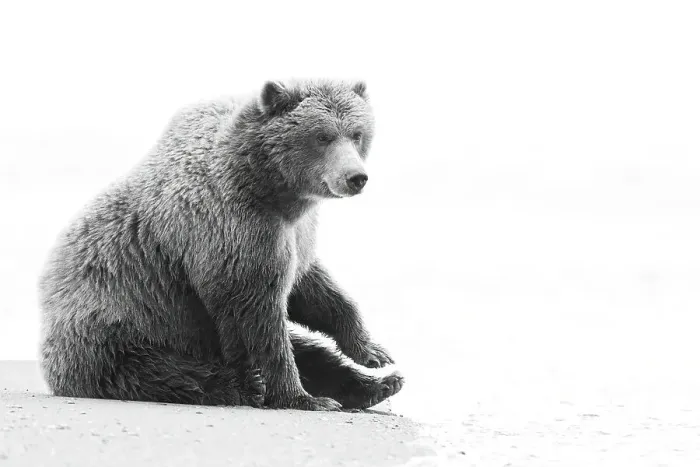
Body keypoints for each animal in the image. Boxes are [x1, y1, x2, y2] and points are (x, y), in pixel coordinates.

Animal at [38, 80, 403, 411]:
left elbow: (312, 289)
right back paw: (246, 386)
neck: (273, 191)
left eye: (356, 133)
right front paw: (301, 397)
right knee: (163, 371)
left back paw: (380, 385)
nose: (356, 177)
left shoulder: (294, 234)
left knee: (311, 352)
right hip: (122, 327)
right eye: (322, 136)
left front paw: (372, 351)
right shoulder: (232, 232)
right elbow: (257, 315)